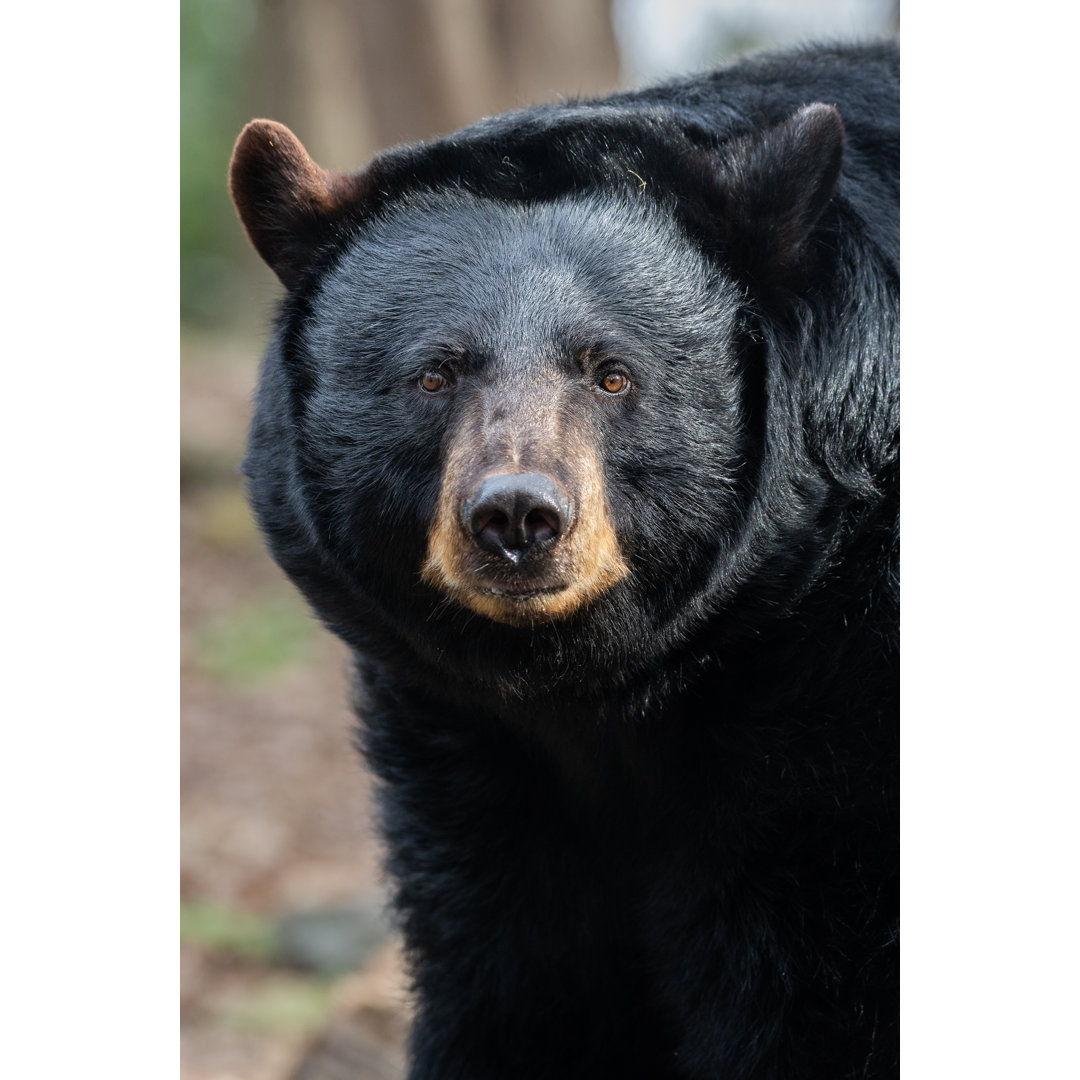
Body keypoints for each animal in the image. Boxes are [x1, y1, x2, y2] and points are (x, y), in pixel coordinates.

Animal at [229, 40, 899, 1080]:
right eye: (434, 374)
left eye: (612, 373)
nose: (516, 517)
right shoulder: (469, 750)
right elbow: (523, 977)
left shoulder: (839, 703)